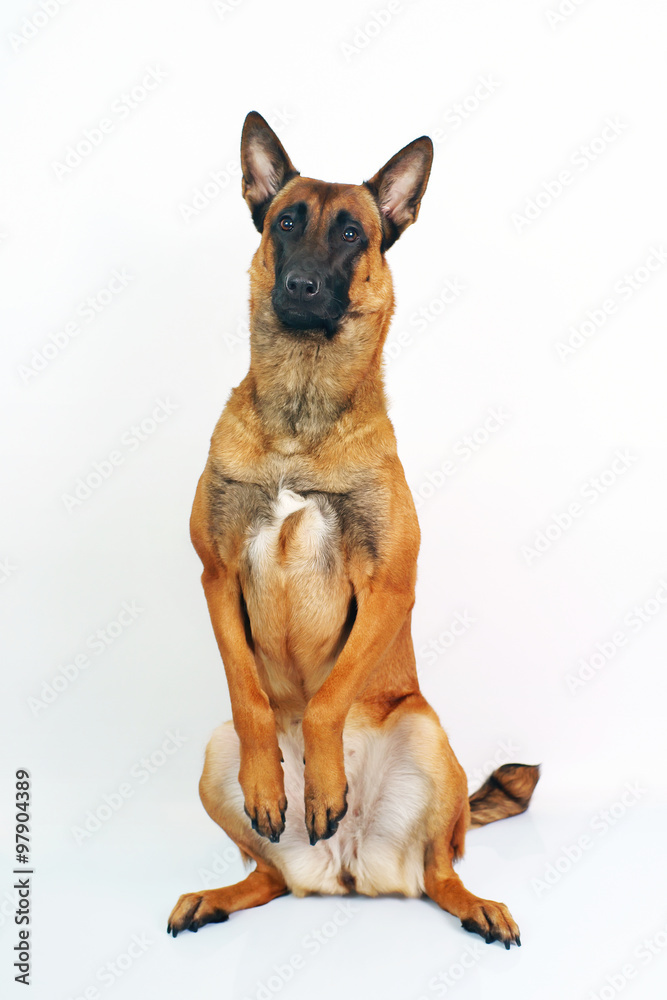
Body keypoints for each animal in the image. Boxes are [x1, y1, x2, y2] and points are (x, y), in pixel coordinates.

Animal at [170, 113, 540, 948]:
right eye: (285, 223)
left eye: (351, 233)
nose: (301, 289)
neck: (300, 418)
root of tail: (348, 871)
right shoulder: (215, 577)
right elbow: (251, 696)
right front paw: (273, 784)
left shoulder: (388, 587)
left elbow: (326, 702)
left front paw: (322, 779)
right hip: (213, 754)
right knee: (269, 872)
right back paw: (221, 892)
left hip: (429, 737)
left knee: (440, 872)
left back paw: (474, 904)